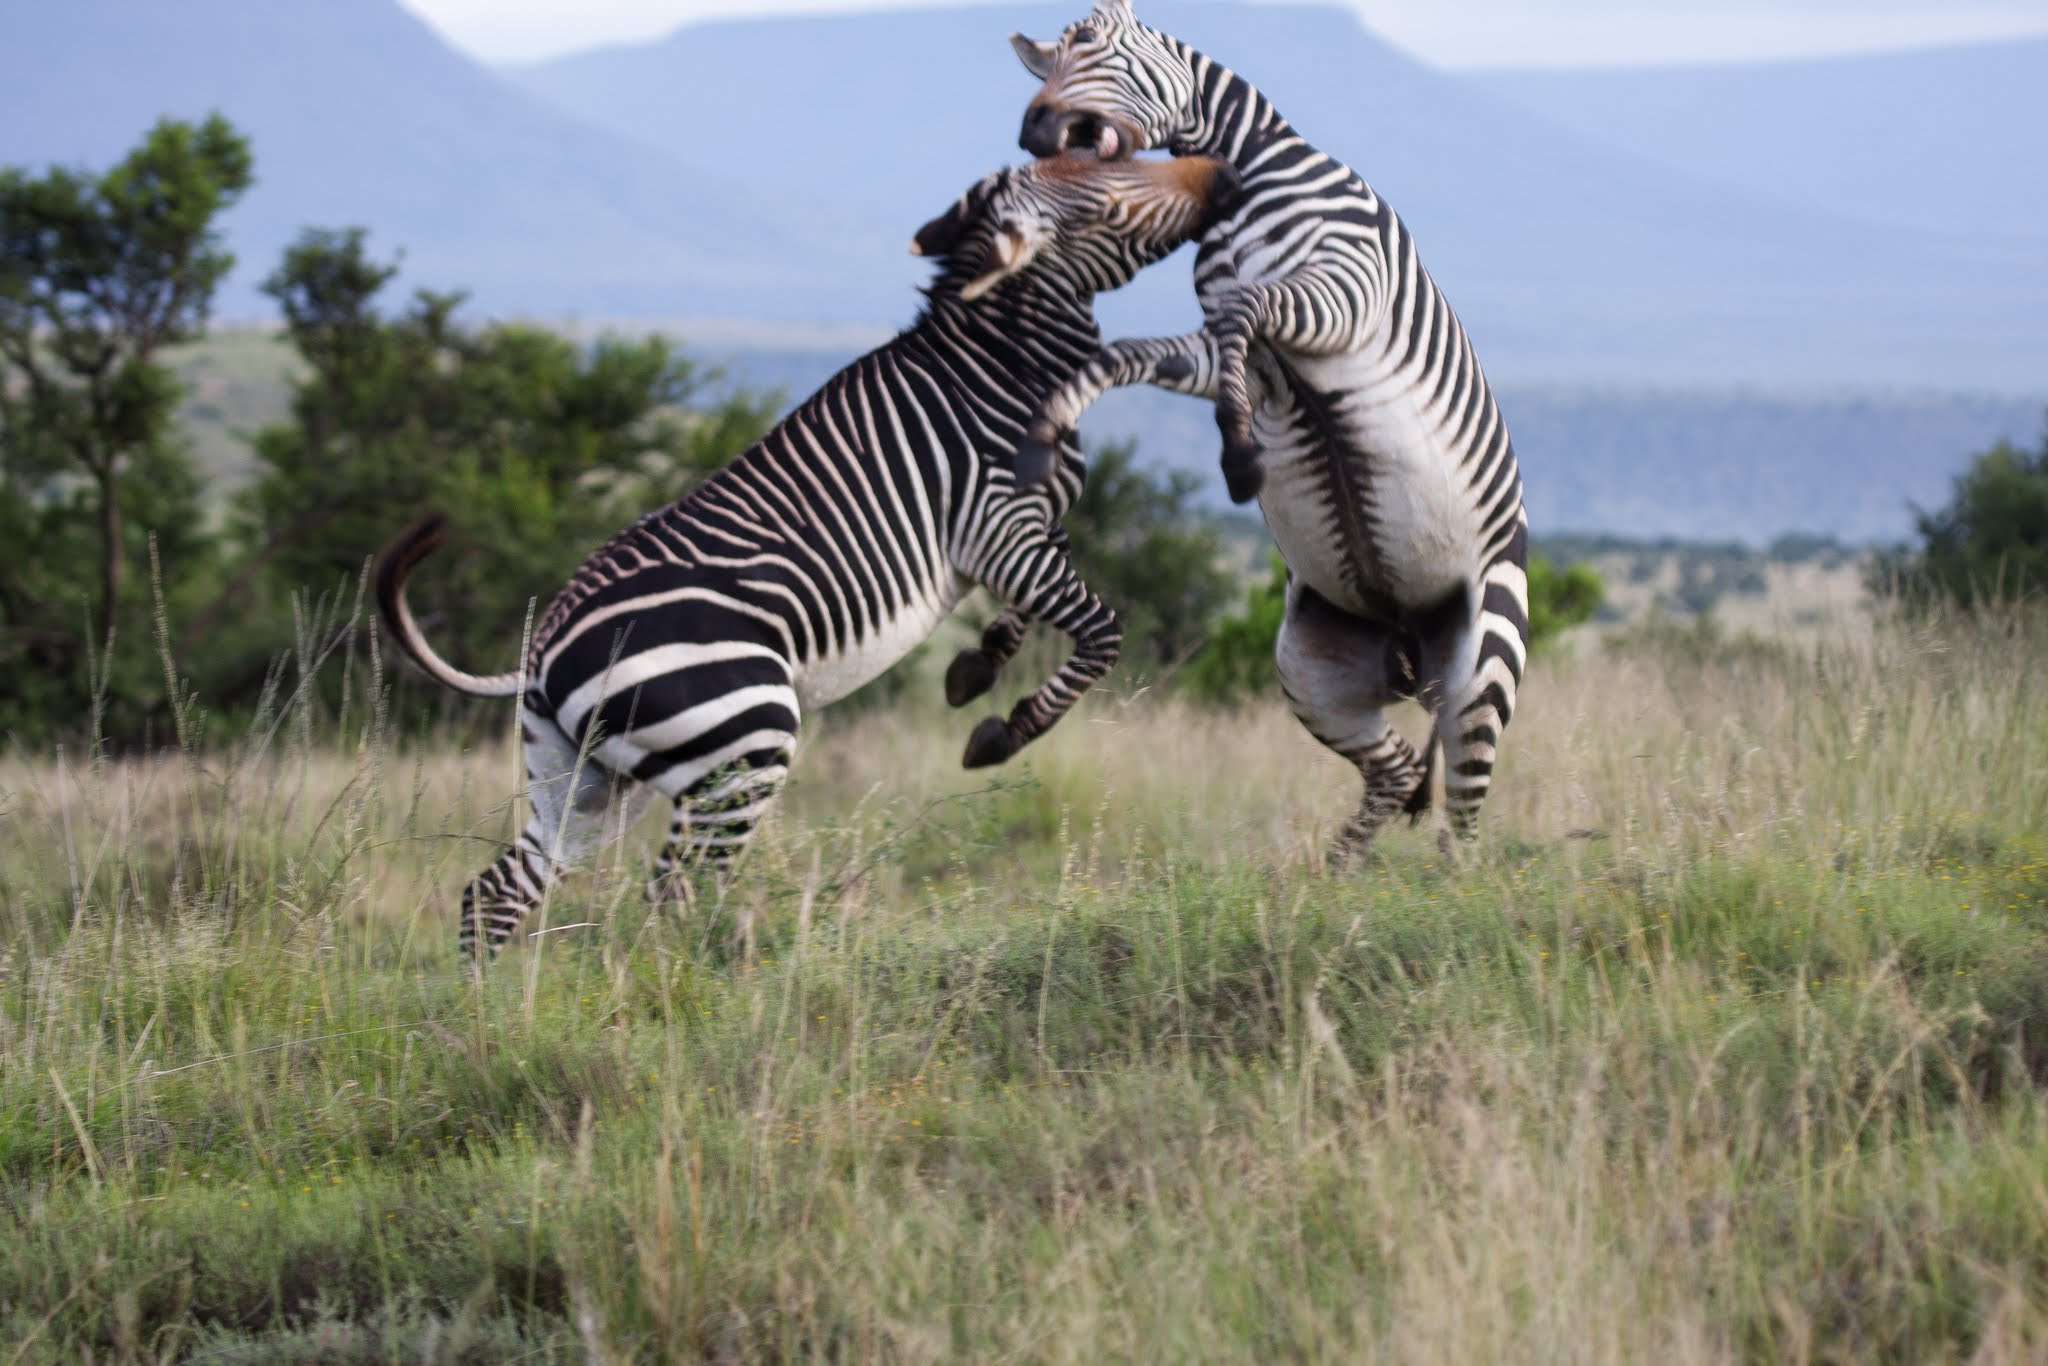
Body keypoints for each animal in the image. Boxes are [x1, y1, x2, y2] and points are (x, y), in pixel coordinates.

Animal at [374, 151, 1242, 963]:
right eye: (1112, 190)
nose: (1222, 175)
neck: (1007, 367)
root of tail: (542, 651)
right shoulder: (999, 526)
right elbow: (1101, 632)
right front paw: (1003, 729)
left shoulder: (1029, 532)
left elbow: (1030, 615)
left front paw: (975, 667)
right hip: (741, 739)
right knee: (670, 897)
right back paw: (694, 995)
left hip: (583, 780)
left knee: (498, 893)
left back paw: (486, 1010)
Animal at [1004, 0, 1529, 860]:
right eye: (1046, 62)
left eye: (1089, 45)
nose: (1033, 129)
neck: (1242, 177)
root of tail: (1408, 642)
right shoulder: (1250, 355)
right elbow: (1134, 354)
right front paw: (1049, 427)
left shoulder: (1341, 290)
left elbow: (1243, 314)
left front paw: (1241, 456)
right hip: (1312, 671)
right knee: (1393, 772)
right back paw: (1335, 878)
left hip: (1481, 664)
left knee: (1463, 815)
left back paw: (1444, 885)